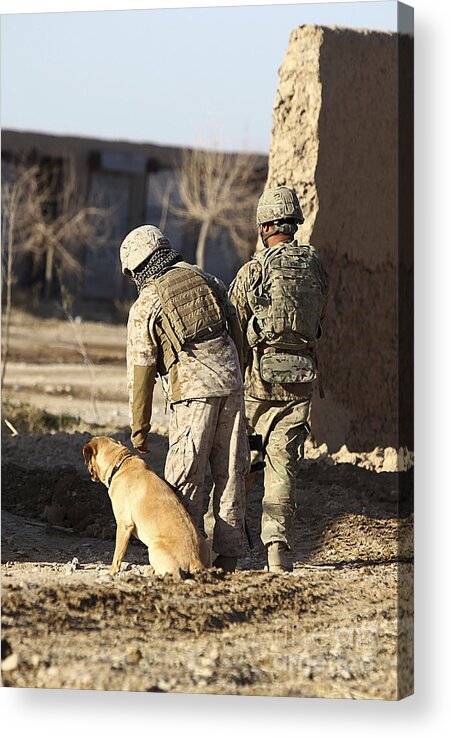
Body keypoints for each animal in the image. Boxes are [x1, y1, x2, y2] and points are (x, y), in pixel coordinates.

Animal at [83, 436, 210, 576]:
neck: (120, 464)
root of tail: (195, 560)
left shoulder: (124, 524)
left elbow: (117, 556)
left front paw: (111, 572)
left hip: (154, 547)